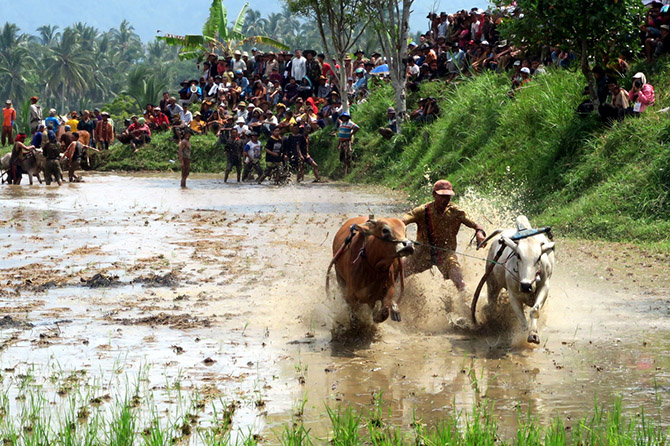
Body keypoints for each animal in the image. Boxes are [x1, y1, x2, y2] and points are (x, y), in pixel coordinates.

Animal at [480, 216, 560, 344]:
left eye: (539, 257)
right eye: (518, 255)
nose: (526, 285)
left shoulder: (544, 287)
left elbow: (534, 311)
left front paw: (533, 335)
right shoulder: (513, 294)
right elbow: (522, 320)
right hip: (492, 283)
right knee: (492, 302)